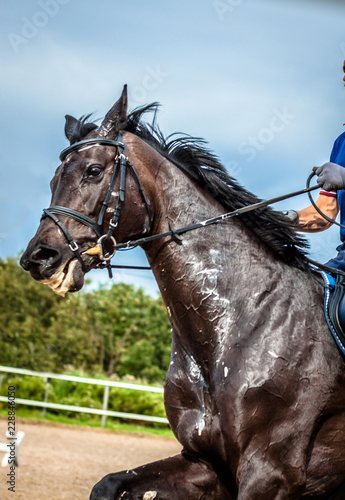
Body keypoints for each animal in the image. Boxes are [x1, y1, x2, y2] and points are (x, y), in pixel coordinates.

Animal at [20, 88, 344, 498]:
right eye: (53, 180)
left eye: (93, 170)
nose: (37, 258)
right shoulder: (204, 461)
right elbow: (107, 485)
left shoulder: (270, 474)